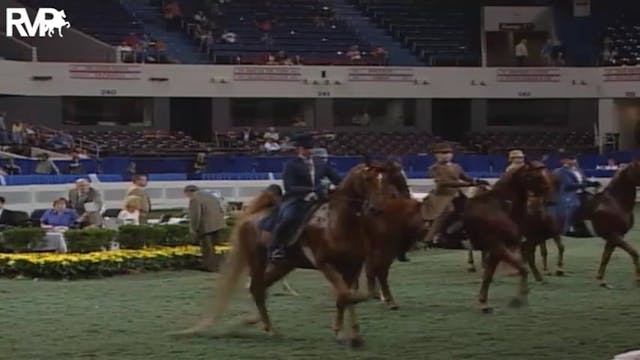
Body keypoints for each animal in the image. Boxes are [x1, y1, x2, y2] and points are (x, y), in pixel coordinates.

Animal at [175, 162, 402, 346]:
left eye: (386, 181)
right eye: (368, 179)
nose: (377, 209)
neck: (337, 222)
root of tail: (252, 216)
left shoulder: (352, 267)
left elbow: (346, 297)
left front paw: (351, 334)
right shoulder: (326, 265)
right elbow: (346, 295)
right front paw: (343, 332)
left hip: (284, 264)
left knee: (261, 288)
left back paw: (255, 321)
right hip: (257, 260)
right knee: (256, 289)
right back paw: (269, 330)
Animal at [460, 162, 556, 310]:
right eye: (533, 176)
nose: (548, 194)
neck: (499, 207)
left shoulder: (496, 250)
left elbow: (488, 275)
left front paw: (483, 301)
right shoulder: (498, 246)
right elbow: (523, 268)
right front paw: (520, 298)